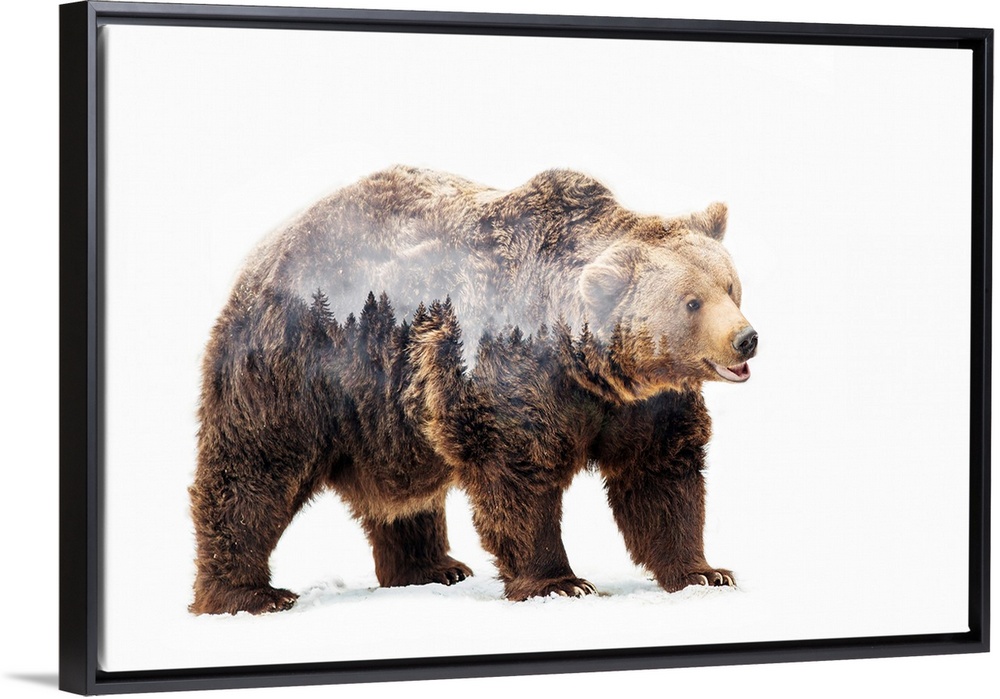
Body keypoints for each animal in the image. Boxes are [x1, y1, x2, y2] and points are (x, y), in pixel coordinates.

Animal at [188, 166, 757, 614]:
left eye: (730, 286)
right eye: (691, 302)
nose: (746, 339)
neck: (590, 367)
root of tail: (264, 250)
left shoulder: (644, 406)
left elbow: (661, 476)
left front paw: (705, 571)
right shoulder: (509, 372)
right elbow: (518, 475)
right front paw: (560, 582)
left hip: (386, 414)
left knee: (403, 495)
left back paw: (431, 567)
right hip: (298, 365)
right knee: (255, 469)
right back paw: (249, 594)